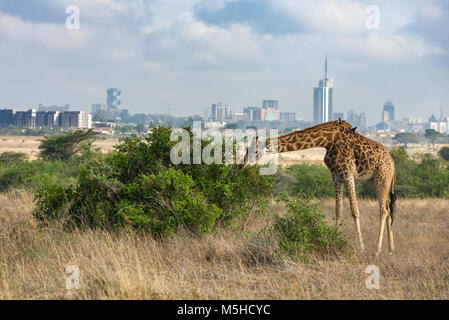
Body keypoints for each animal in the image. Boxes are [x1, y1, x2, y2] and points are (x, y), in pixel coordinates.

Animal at [242, 120, 396, 258]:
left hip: (382, 178)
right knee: (388, 206)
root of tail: (393, 164)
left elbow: (354, 211)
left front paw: (361, 248)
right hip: (373, 181)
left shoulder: (348, 174)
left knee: (383, 210)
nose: (242, 164)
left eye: (255, 150)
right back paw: (390, 249)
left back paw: (377, 251)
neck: (328, 140)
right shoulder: (336, 175)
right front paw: (334, 239)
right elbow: (338, 210)